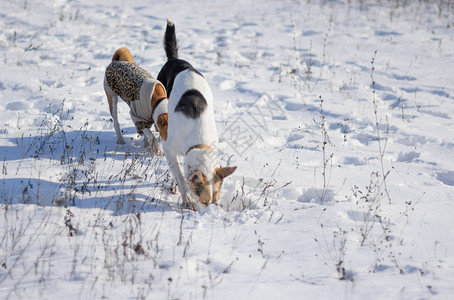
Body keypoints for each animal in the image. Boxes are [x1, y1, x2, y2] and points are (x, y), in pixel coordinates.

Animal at [158, 19, 236, 211]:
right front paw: (186, 199)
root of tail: (175, 60)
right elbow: (180, 177)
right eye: (204, 201)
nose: (212, 213)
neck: (199, 141)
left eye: (216, 199)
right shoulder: (169, 148)